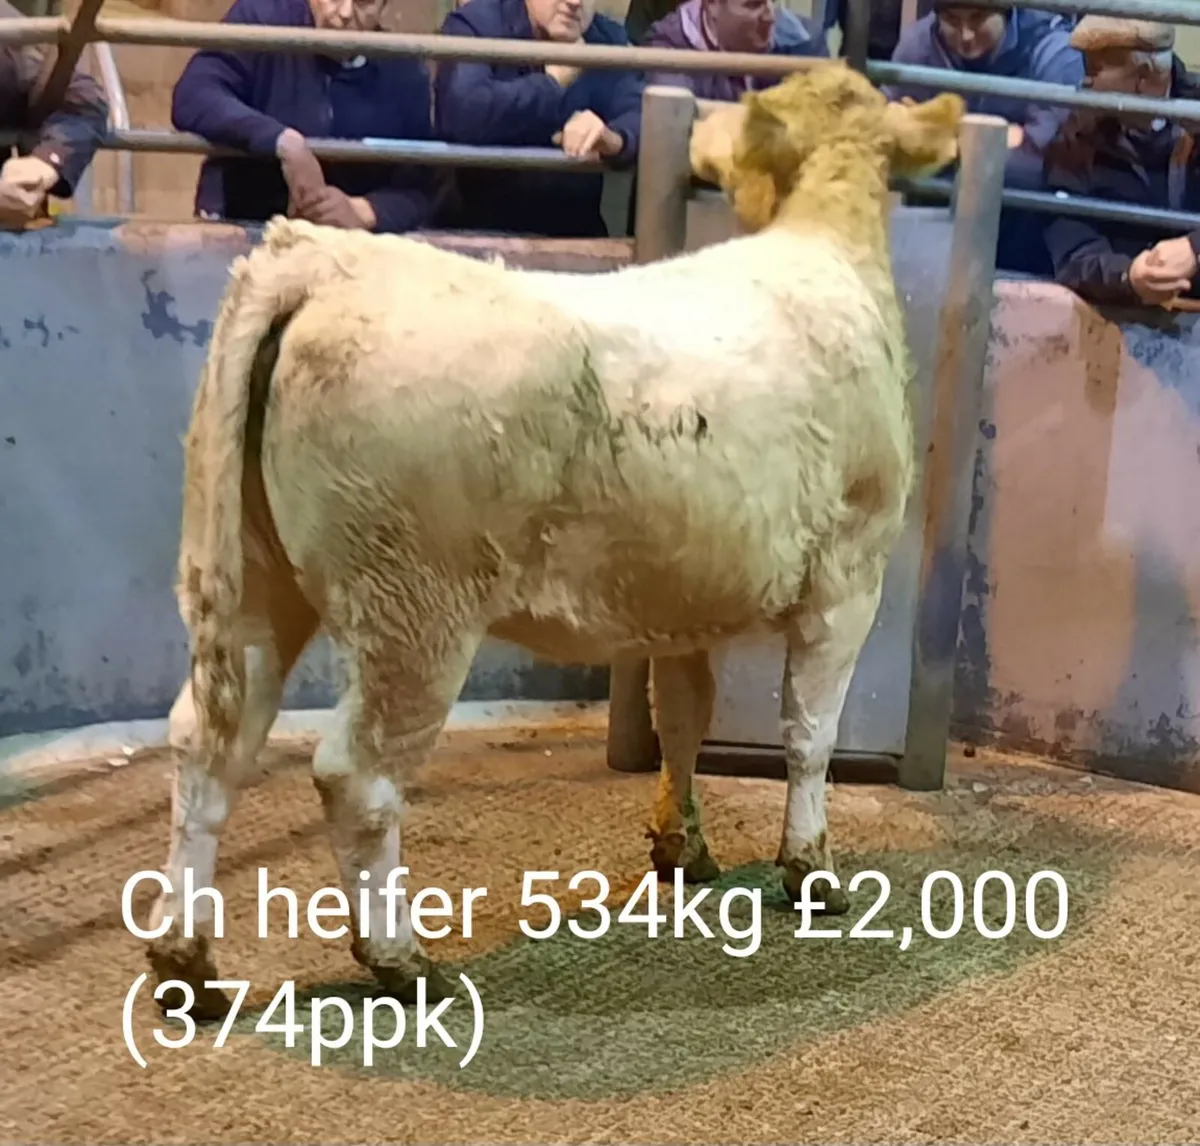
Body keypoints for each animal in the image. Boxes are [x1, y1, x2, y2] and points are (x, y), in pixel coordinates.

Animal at [144, 63, 965, 1019]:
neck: (824, 246)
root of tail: (324, 259)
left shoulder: (688, 597)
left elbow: (684, 716)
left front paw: (683, 848)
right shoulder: (850, 571)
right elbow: (809, 731)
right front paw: (813, 870)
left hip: (247, 578)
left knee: (208, 740)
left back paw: (185, 959)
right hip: (415, 605)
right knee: (356, 773)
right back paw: (400, 960)